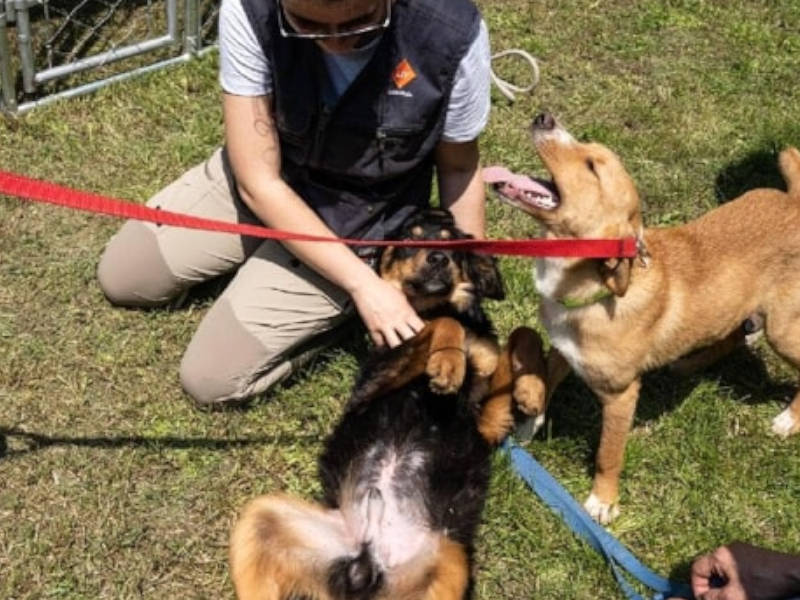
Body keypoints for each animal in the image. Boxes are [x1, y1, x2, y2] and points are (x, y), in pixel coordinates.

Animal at [228, 207, 548, 600]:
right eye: (409, 238)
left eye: (451, 244)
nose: (438, 258)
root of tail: (366, 564)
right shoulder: (373, 385)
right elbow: (439, 325)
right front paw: (447, 362)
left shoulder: (486, 422)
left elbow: (523, 333)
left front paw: (531, 391)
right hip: (262, 515)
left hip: (450, 561)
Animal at [490, 111, 800, 520]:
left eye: (592, 166)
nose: (544, 116)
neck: (593, 290)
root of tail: (795, 201)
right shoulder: (563, 348)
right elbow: (542, 375)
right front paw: (528, 420)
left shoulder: (621, 395)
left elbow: (608, 454)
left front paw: (603, 502)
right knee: (732, 335)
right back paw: (689, 363)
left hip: (782, 329)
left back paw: (788, 420)